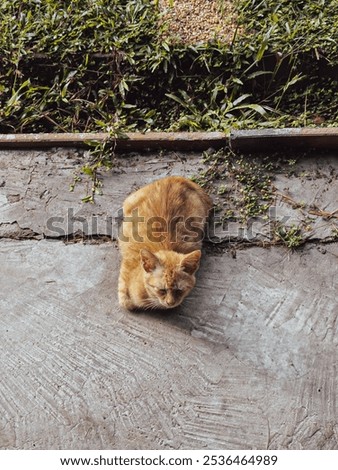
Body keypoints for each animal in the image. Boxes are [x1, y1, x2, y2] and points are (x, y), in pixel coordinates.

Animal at [118, 174, 211, 310]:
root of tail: (175, 177)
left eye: (179, 290)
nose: (170, 303)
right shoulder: (125, 268)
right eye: (161, 290)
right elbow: (126, 301)